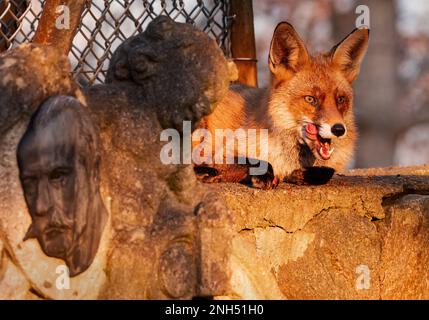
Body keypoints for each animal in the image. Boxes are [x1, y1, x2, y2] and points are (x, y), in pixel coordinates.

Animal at [191, 21, 368, 188]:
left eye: (341, 99)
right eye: (310, 99)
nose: (338, 129)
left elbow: (326, 172)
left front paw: (297, 175)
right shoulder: (215, 150)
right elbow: (255, 162)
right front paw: (263, 174)